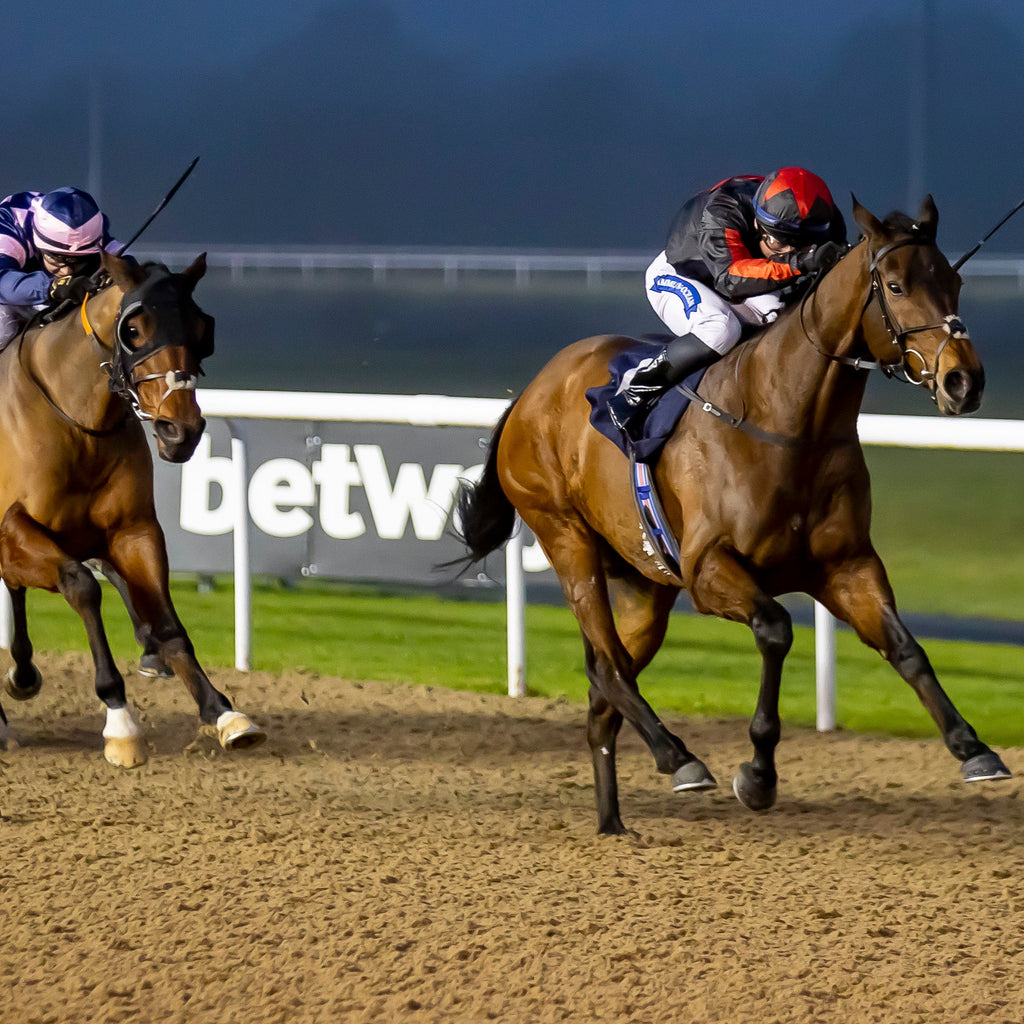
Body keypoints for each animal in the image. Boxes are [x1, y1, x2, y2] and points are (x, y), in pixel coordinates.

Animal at [0, 250, 265, 767]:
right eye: (134, 329)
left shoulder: (133, 531)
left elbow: (167, 622)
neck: (77, 421)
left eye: (202, 329)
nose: (180, 431)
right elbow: (81, 586)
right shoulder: (11, 534)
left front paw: (223, 713)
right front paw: (120, 721)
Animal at [454, 195, 1011, 835]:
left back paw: (613, 821)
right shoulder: (710, 571)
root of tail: (530, 393)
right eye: (895, 286)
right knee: (609, 667)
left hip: (645, 585)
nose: (964, 381)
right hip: (566, 538)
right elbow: (775, 628)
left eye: (955, 282)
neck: (788, 425)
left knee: (604, 690)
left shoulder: (847, 566)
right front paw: (759, 772)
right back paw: (679, 758)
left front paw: (973, 748)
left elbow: (907, 649)